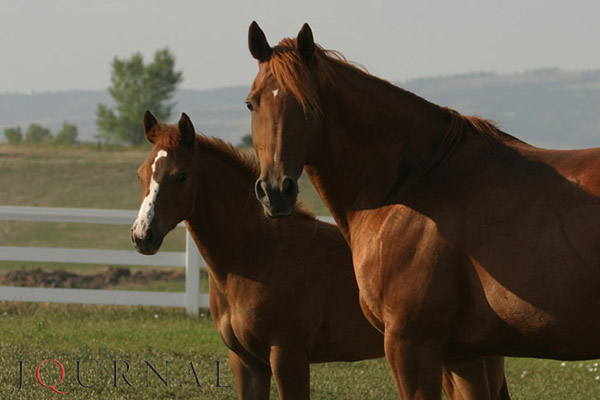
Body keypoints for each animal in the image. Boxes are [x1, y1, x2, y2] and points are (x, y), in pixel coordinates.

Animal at [246, 22, 600, 400]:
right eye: (251, 103)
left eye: (310, 104)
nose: (275, 192)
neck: (415, 183)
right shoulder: (463, 356)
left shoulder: (411, 344)